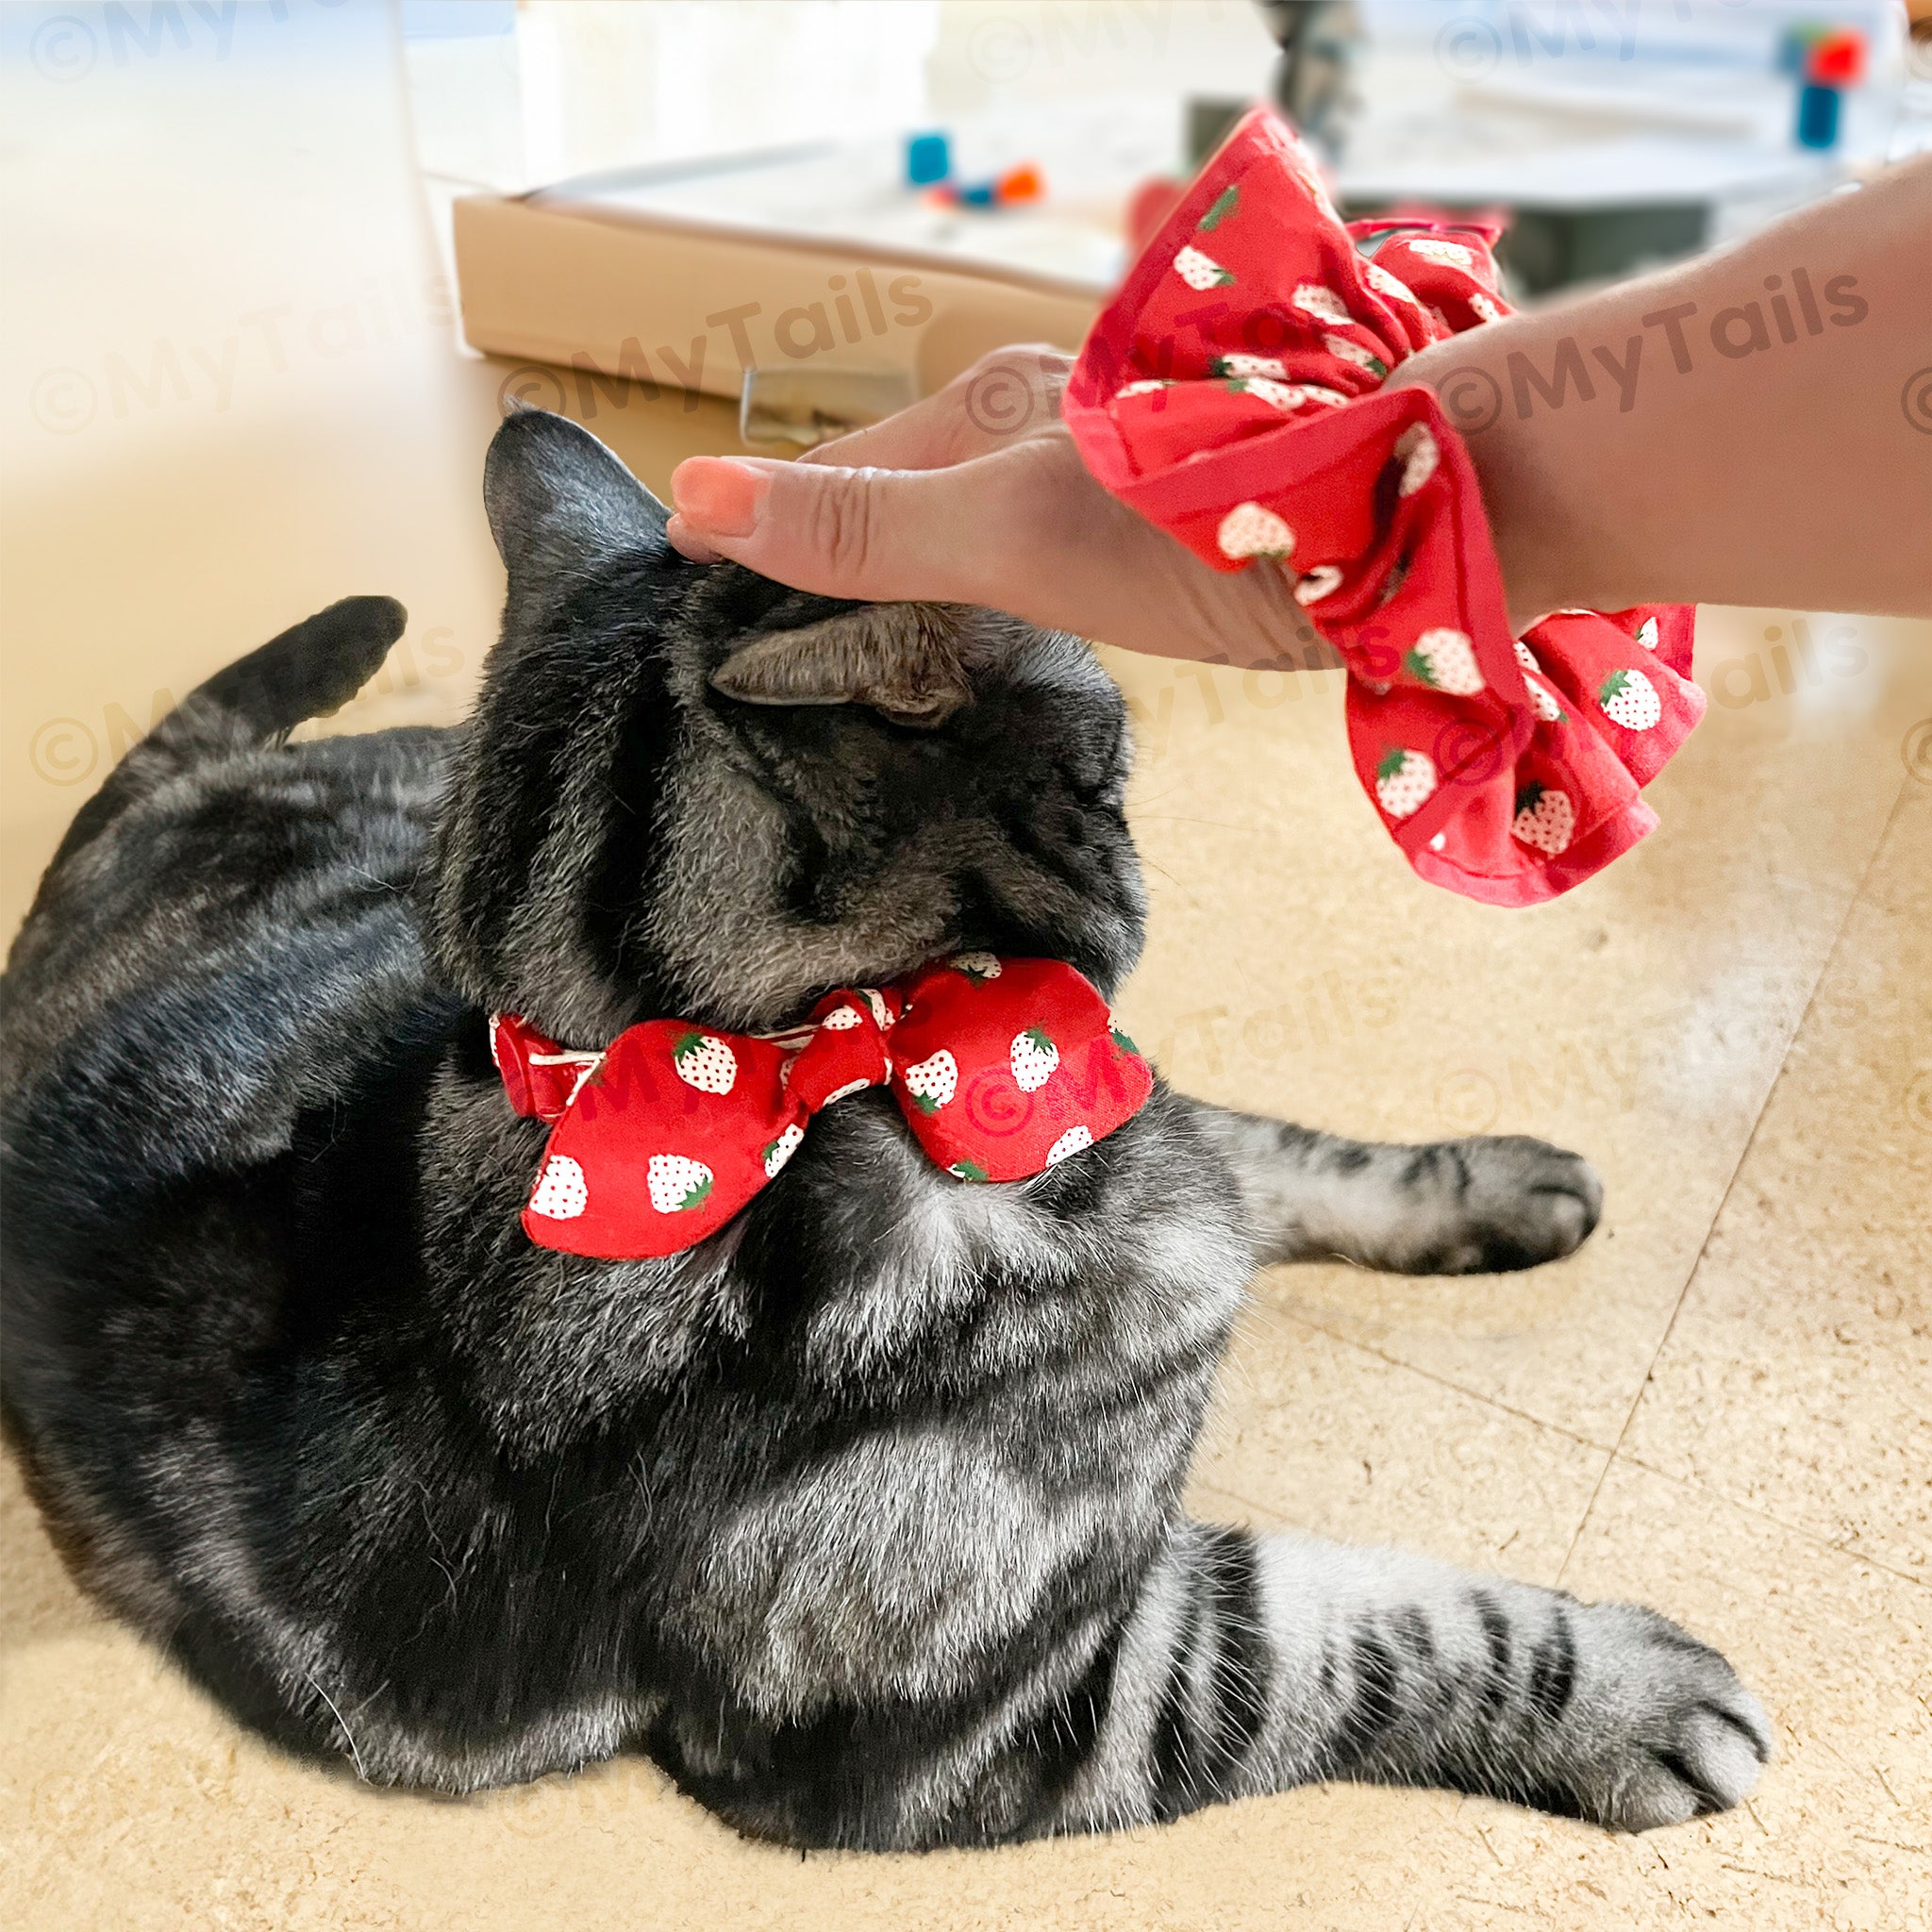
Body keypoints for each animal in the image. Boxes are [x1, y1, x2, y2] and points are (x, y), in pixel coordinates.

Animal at [0, 415, 1769, 1846]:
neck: (802, 1076)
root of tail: (79, 891)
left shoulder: (1101, 1087)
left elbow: (1285, 1157)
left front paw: (1493, 1186)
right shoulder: (1011, 1712)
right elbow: (1366, 1637)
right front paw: (1629, 1696)